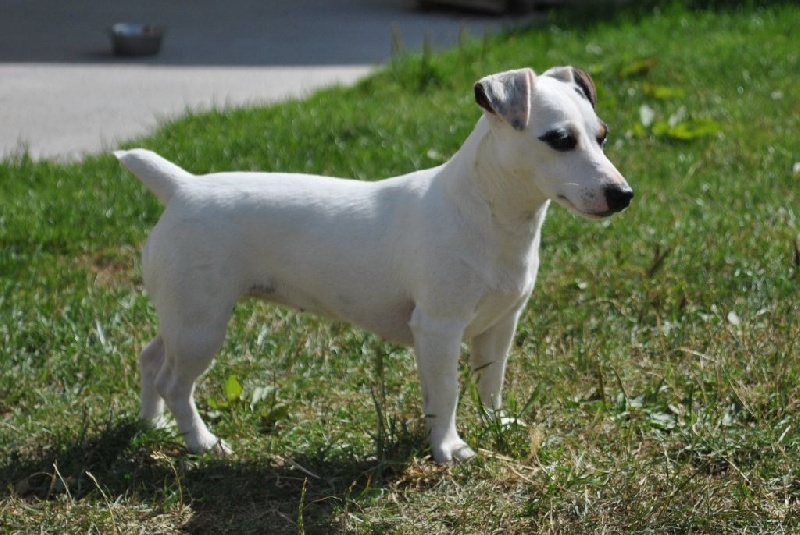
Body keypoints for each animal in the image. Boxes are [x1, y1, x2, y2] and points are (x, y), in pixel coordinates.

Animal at [115, 66, 636, 460]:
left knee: (151, 360)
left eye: (602, 136)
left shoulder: (499, 324)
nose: (623, 195)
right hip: (202, 325)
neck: (490, 213)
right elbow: (446, 392)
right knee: (174, 383)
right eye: (560, 140)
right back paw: (202, 442)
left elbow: (491, 380)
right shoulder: (438, 329)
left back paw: (152, 424)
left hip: (185, 317)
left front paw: (496, 424)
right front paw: (449, 448)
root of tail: (182, 187)